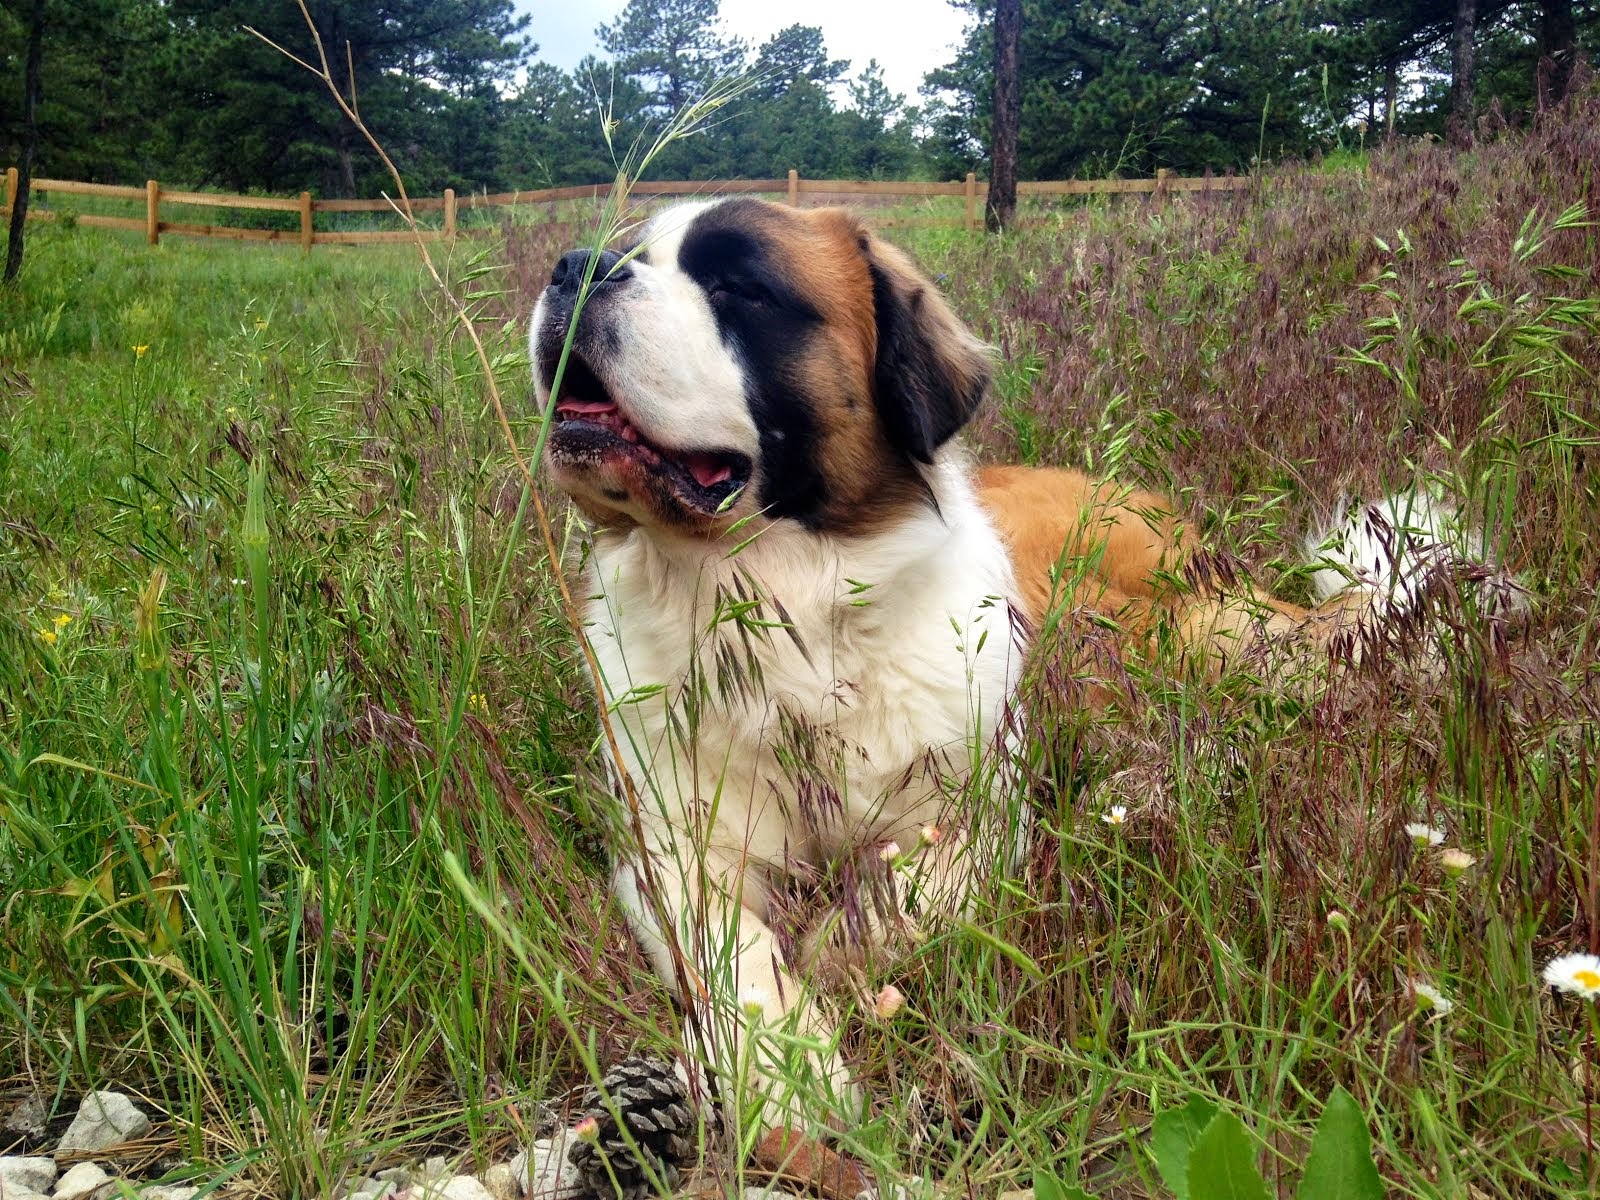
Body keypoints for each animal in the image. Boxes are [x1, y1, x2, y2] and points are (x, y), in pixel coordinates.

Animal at [534, 195, 1510, 1126]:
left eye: (738, 287)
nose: (577, 267)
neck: (788, 617)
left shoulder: (980, 807)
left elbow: (921, 890)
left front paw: (842, 947)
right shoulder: (670, 850)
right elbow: (731, 952)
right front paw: (790, 1078)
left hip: (1163, 629)